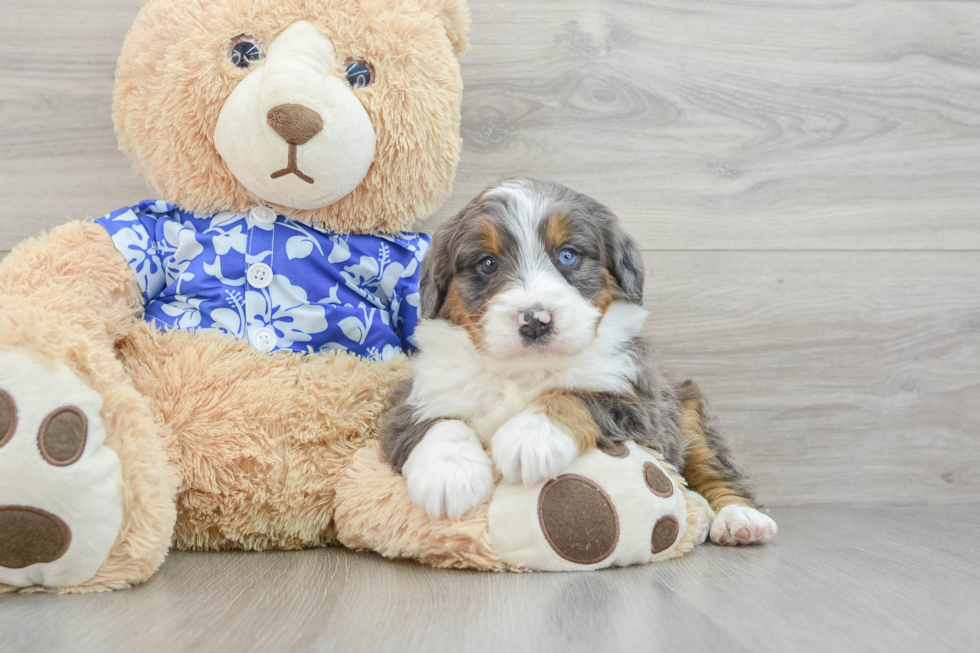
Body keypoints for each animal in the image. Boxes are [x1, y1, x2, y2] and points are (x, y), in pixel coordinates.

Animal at [378, 178, 776, 544]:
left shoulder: (641, 397)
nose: (535, 320)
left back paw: (739, 518)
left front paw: (530, 437)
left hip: (689, 407)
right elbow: (436, 422)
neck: (524, 370)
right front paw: (449, 475)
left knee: (715, 466)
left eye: (568, 255)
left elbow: (578, 394)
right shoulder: (414, 393)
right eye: (487, 263)